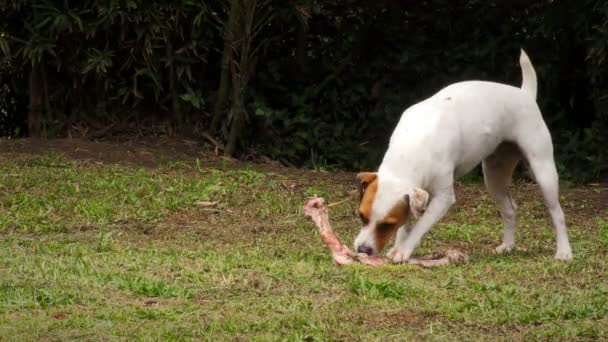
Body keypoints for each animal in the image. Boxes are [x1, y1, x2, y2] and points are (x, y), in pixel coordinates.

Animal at [354, 50, 572, 262]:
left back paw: (564, 252)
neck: (411, 148)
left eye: (387, 224)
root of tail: (524, 94)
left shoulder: (443, 198)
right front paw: (399, 245)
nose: (362, 250)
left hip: (543, 171)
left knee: (557, 213)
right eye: (361, 216)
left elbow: (420, 226)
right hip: (494, 177)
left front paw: (404, 250)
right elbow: (407, 223)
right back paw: (508, 246)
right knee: (509, 210)